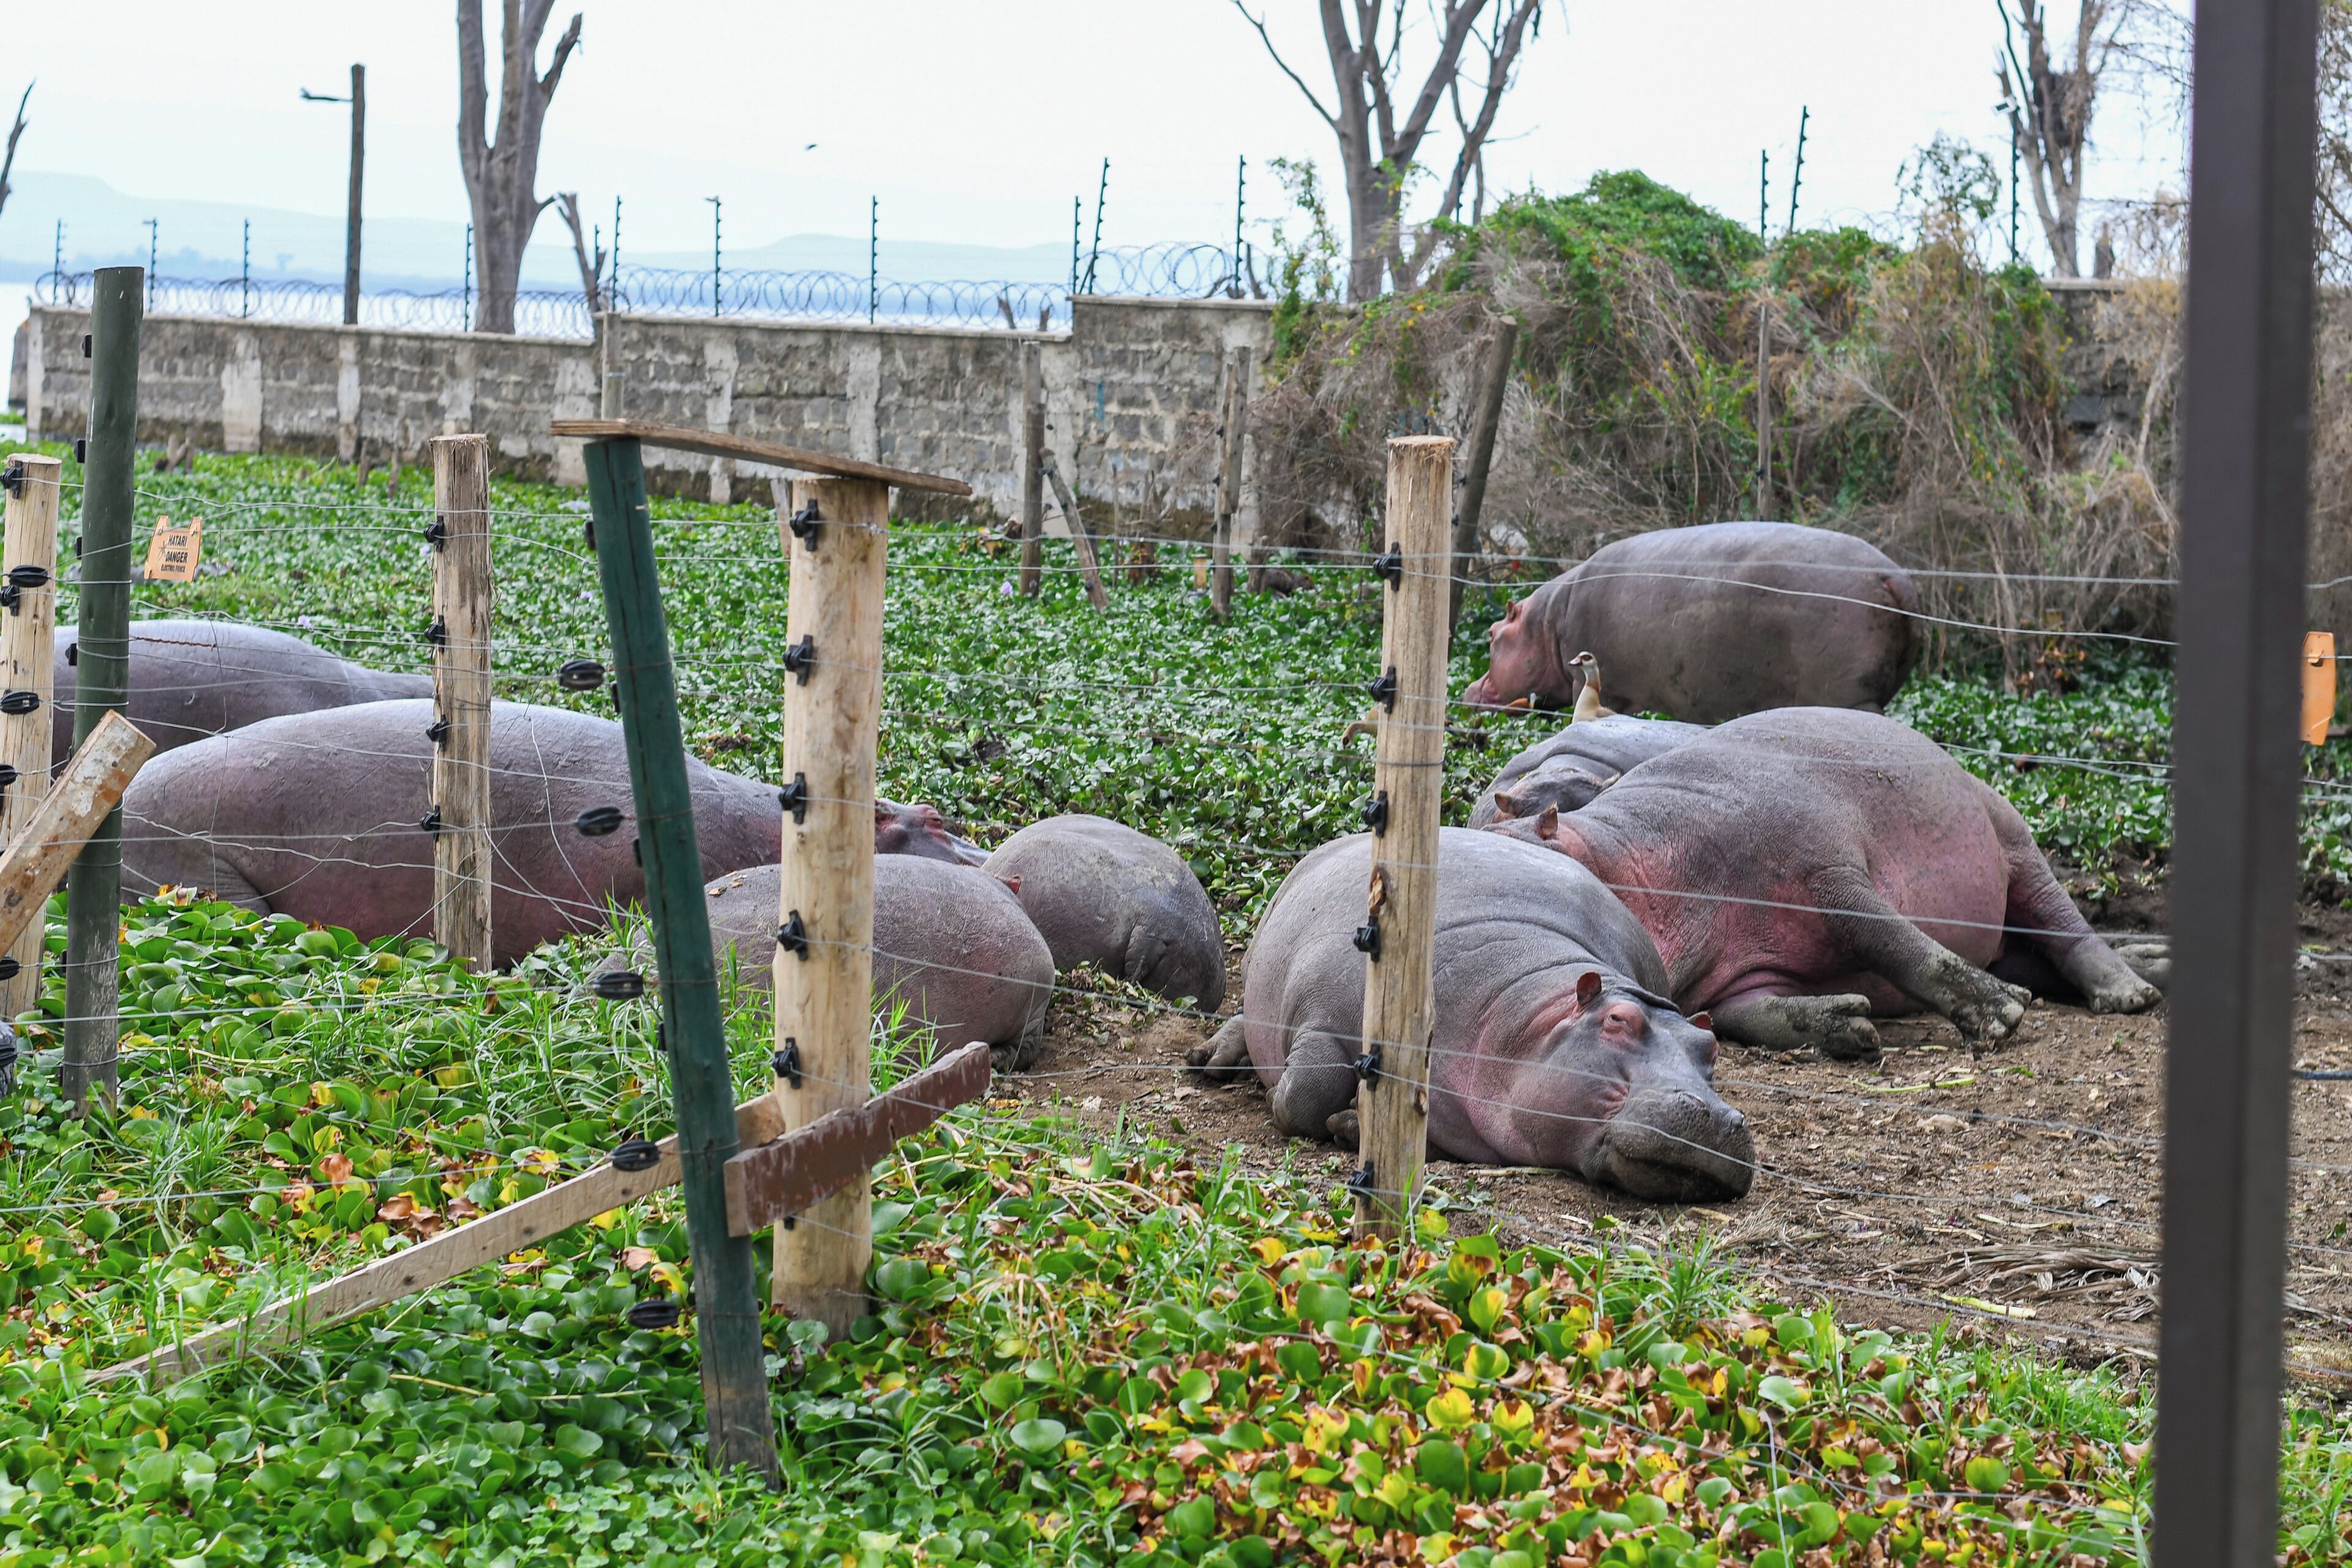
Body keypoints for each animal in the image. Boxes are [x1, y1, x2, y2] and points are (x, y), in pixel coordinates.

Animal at [1193, 829, 1754, 1200]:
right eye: (1617, 1021)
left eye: (1710, 1047)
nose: (1719, 1118)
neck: (1523, 1011)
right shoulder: (1324, 1014)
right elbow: (1304, 1096)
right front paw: (1297, 1100)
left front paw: (1351, 1121)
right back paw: (1211, 1061)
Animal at [1461, 521, 1920, 722]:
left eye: (1492, 635)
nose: (1467, 689)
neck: (1545, 623)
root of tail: (1893, 576)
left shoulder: (1588, 683)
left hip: (1850, 699)